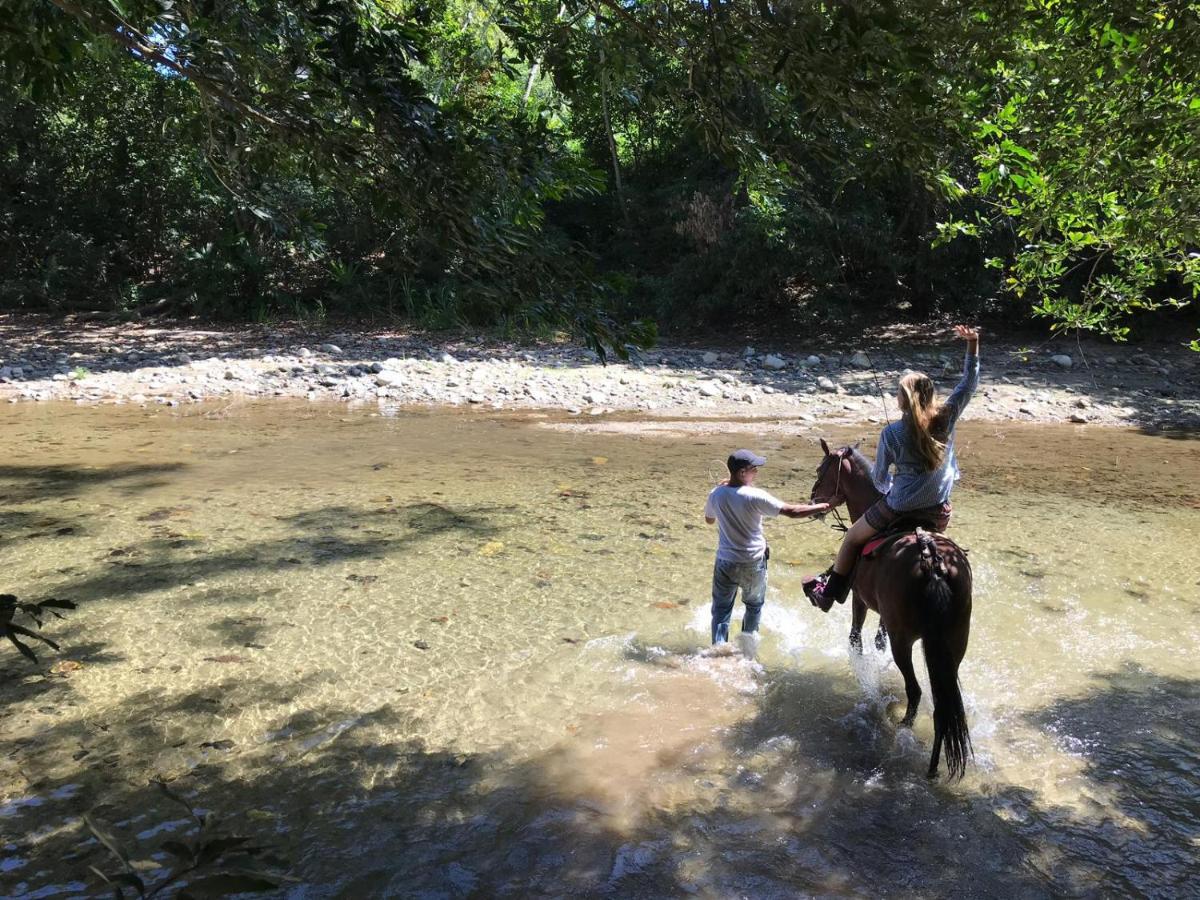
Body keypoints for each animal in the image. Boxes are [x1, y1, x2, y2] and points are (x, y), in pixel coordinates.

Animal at [806, 441, 974, 777]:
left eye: (821, 470)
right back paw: (933, 766)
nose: (813, 500)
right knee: (942, 704)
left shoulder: (859, 598)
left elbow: (855, 639)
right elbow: (877, 638)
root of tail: (932, 561)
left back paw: (903, 733)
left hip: (905, 642)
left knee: (916, 692)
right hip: (955, 643)